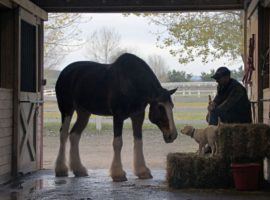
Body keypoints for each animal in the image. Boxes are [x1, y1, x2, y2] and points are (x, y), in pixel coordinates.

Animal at [54, 52, 178, 181]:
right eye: (160, 107)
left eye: (172, 106)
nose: (172, 135)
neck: (131, 82)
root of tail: (64, 72)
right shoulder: (118, 116)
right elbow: (118, 143)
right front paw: (118, 174)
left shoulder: (138, 116)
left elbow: (138, 141)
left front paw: (142, 171)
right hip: (66, 110)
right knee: (63, 134)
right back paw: (61, 169)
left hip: (84, 113)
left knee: (74, 135)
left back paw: (79, 169)